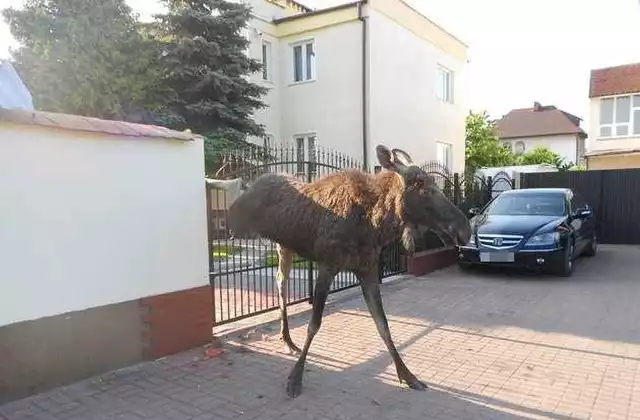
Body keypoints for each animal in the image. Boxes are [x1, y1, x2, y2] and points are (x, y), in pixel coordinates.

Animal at [225, 144, 470, 398]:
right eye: (420, 183)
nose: (464, 229)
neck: (374, 224)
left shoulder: (368, 270)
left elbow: (383, 325)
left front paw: (408, 375)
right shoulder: (327, 266)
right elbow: (314, 325)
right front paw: (295, 378)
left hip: (285, 245)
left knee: (280, 282)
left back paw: (287, 339)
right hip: (240, 229)